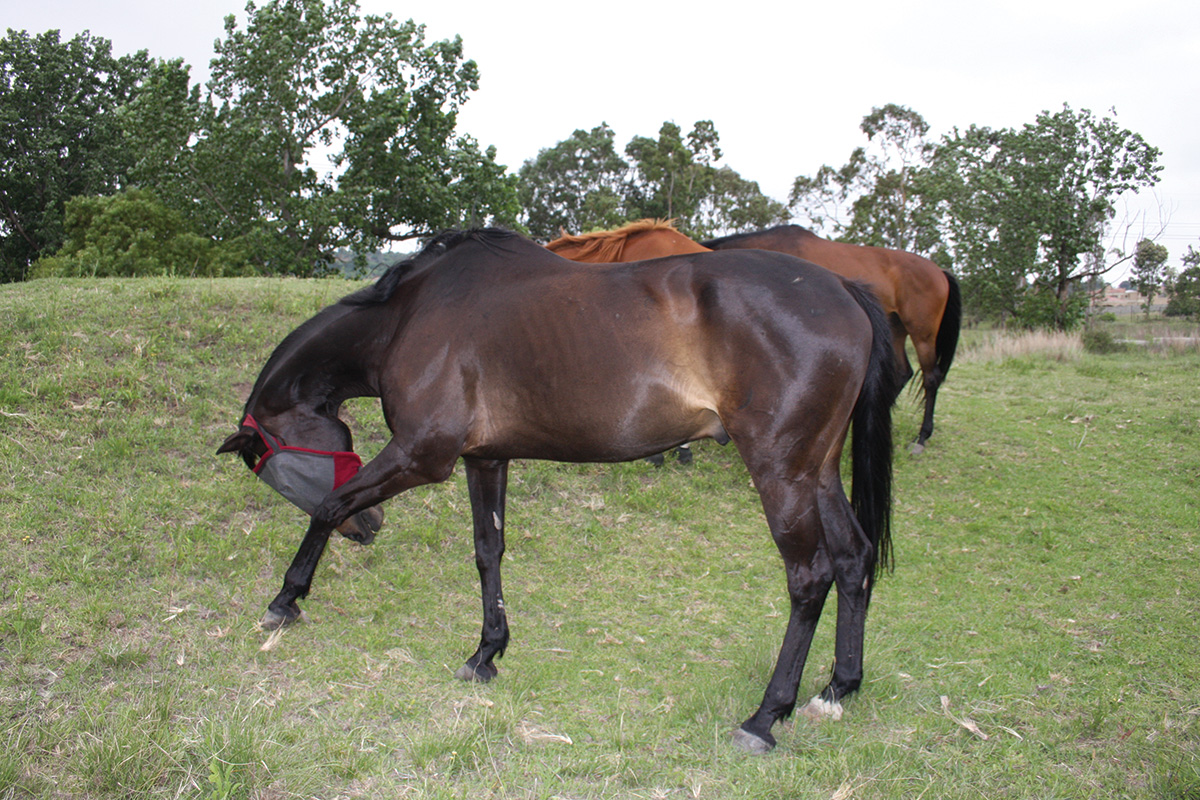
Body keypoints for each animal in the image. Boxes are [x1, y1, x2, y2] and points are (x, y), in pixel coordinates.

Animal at [218, 227, 902, 753]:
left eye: (279, 475)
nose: (369, 532)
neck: (409, 316)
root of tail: (842, 288)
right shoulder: (486, 458)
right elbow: (487, 552)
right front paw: (487, 652)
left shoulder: (421, 455)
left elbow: (329, 505)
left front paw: (285, 600)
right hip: (817, 470)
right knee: (853, 558)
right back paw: (837, 688)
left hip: (781, 471)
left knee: (809, 577)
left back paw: (765, 717)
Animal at [700, 226, 964, 450]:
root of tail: (940, 271)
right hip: (896, 328)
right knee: (902, 373)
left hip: (923, 334)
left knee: (931, 378)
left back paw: (921, 437)